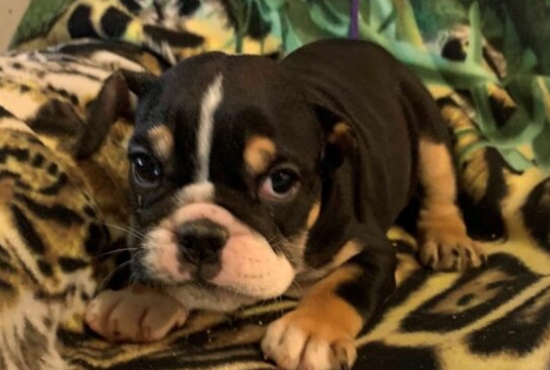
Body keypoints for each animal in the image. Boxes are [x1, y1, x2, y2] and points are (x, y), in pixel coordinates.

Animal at [87, 39, 488, 370]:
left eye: (280, 182)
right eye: (144, 167)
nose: (200, 236)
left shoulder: (374, 251)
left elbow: (344, 283)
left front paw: (310, 331)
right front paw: (140, 299)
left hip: (429, 134)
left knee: (440, 190)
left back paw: (449, 239)